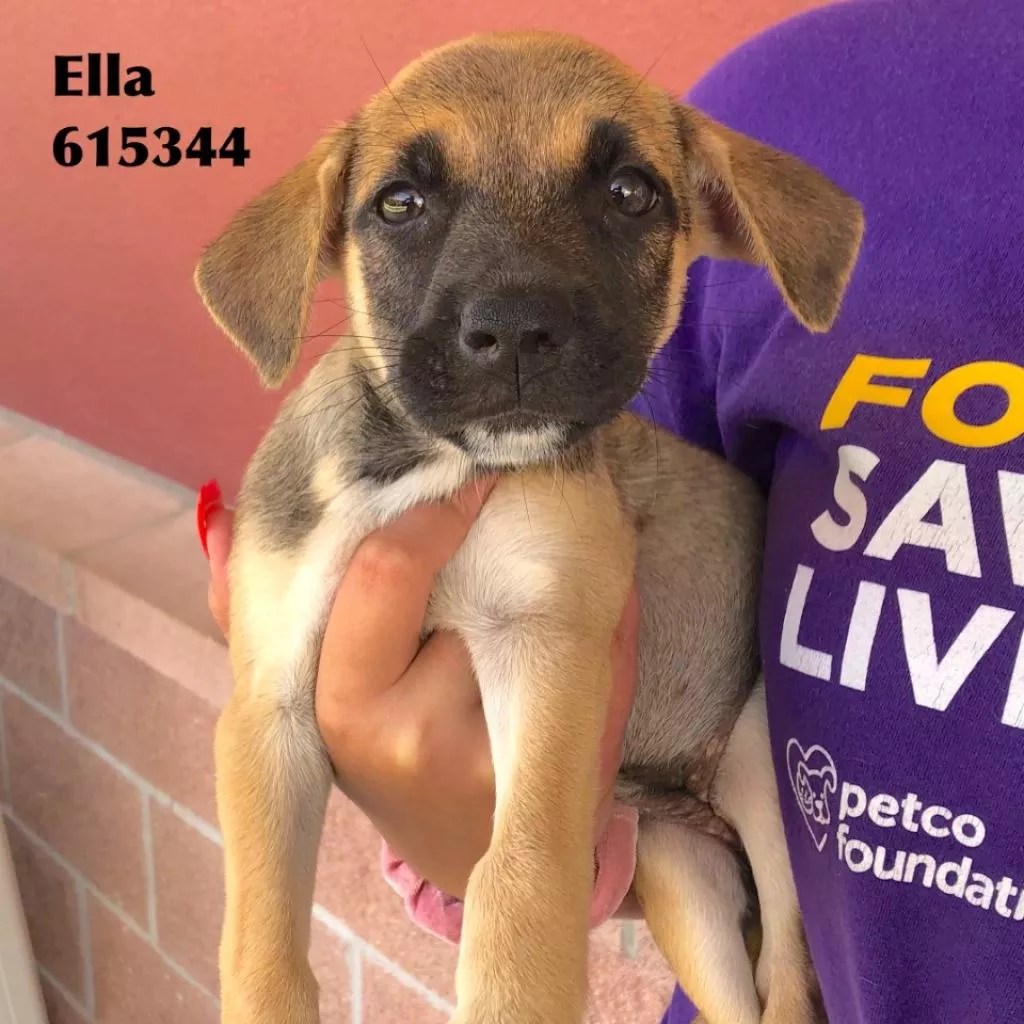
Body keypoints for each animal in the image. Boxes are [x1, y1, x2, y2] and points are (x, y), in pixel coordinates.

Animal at [194, 30, 862, 1024]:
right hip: (684, 877)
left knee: (785, 975)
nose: (513, 331)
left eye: (630, 192)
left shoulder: (544, 646)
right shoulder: (269, 711)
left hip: (763, 787)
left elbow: (518, 884)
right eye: (399, 202)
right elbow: (261, 945)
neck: (423, 471)